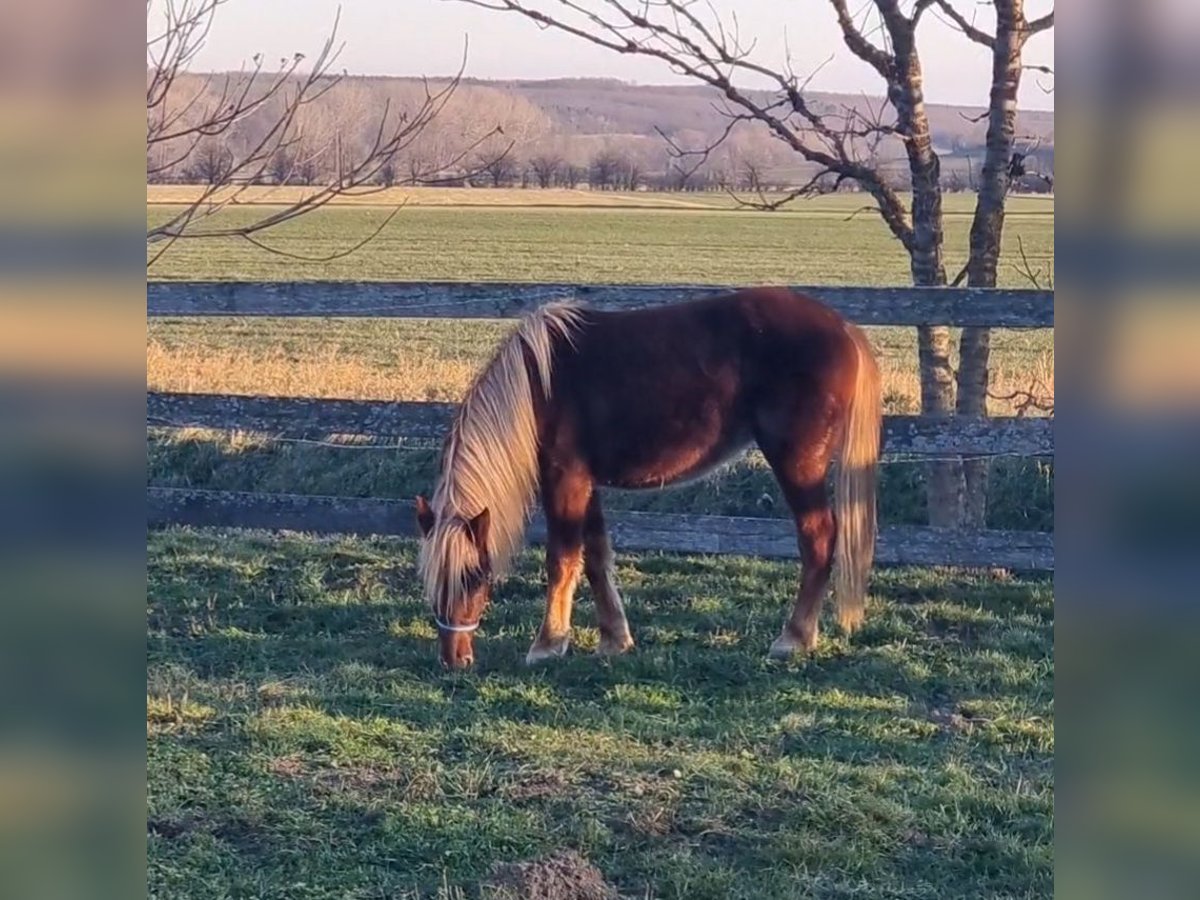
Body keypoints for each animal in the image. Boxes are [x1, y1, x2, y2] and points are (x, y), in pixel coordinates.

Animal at [415, 289, 883, 672]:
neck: (536, 390)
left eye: (475, 577)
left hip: (797, 463)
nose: (454, 660)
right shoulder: (586, 484)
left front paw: (547, 645)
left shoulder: (564, 480)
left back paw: (793, 638)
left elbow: (561, 559)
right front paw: (614, 640)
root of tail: (843, 327)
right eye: (433, 582)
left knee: (819, 538)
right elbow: (596, 557)